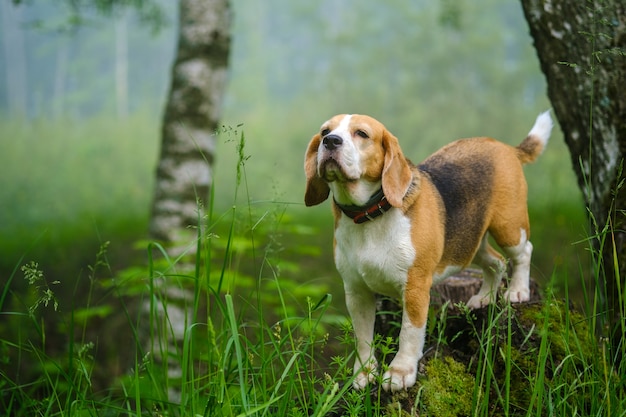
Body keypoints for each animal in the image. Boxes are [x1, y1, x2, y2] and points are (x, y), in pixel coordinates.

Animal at [302, 111, 552, 390]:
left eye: (362, 134)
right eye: (325, 132)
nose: (331, 141)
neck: (368, 217)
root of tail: (505, 146)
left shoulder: (415, 287)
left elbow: (408, 333)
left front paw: (399, 372)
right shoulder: (357, 291)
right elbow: (363, 336)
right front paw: (364, 373)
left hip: (508, 227)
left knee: (523, 252)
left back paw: (518, 291)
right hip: (469, 245)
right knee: (497, 262)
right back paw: (485, 297)